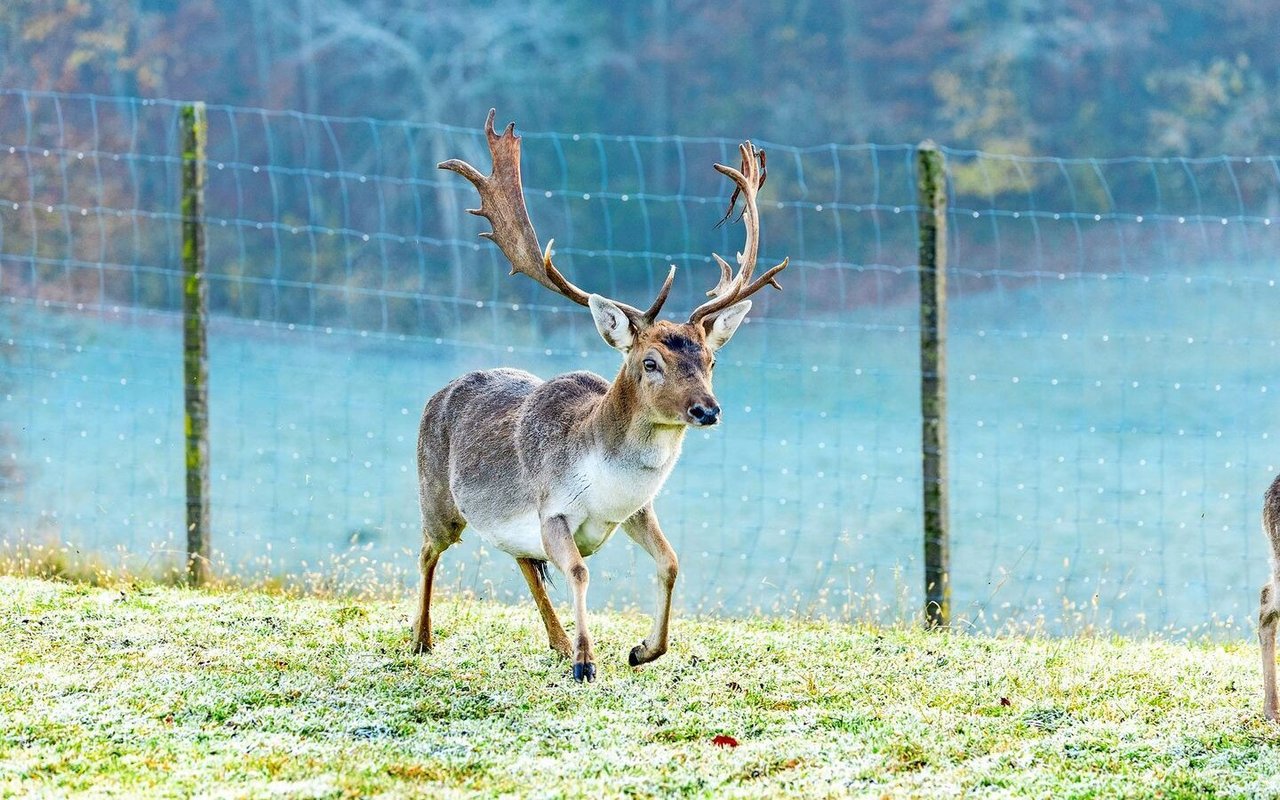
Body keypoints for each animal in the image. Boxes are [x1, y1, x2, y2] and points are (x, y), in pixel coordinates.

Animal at [412, 110, 787, 681]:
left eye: (711, 360)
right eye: (650, 362)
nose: (707, 409)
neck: (606, 483)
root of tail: (437, 394)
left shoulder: (635, 511)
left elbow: (670, 561)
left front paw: (642, 649)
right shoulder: (552, 511)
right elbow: (580, 571)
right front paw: (587, 663)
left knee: (522, 560)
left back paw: (557, 641)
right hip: (436, 497)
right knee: (427, 552)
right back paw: (422, 639)